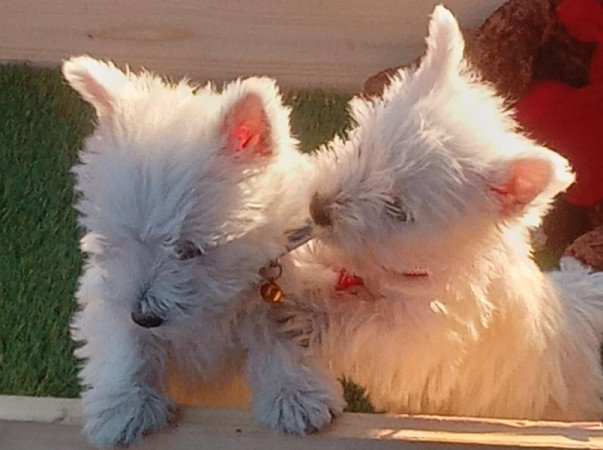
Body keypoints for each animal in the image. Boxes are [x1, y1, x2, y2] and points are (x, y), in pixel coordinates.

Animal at [63, 58, 342, 448]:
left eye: (189, 249)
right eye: (116, 242)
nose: (144, 315)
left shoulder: (284, 294)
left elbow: (283, 339)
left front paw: (296, 397)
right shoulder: (110, 293)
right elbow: (125, 342)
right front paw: (122, 407)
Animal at [272, 4, 603, 422]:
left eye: (398, 209)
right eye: (362, 148)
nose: (318, 208)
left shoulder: (421, 342)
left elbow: (365, 327)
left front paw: (309, 316)